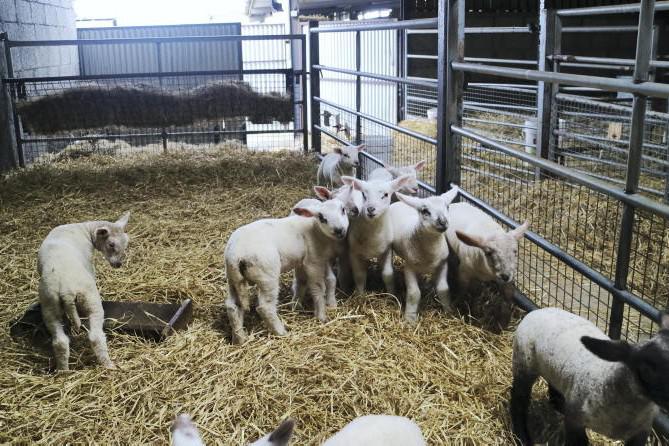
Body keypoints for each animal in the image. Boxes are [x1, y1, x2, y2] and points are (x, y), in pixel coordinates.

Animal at [37, 212, 130, 371]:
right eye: (111, 244)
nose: (118, 264)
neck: (84, 229)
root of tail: (66, 291)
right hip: (90, 299)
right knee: (95, 337)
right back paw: (108, 365)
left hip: (49, 305)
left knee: (60, 342)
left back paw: (63, 370)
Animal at [224, 198, 349, 344]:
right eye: (322, 218)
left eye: (343, 209)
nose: (339, 230)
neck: (316, 230)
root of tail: (236, 255)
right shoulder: (313, 261)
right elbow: (318, 288)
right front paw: (322, 316)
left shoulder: (309, 260)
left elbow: (307, 281)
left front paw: (297, 306)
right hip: (267, 275)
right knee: (265, 307)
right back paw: (280, 332)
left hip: (233, 278)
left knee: (233, 307)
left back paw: (239, 339)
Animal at [389, 187, 459, 321]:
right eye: (425, 211)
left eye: (447, 207)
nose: (443, 221)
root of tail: (399, 202)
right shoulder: (409, 267)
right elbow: (414, 293)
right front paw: (410, 318)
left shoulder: (443, 264)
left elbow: (443, 289)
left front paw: (448, 311)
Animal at [511, 307, 669, 446]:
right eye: (647, 369)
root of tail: (539, 310)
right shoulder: (575, 421)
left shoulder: (642, 431)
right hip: (524, 362)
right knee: (518, 400)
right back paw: (522, 437)